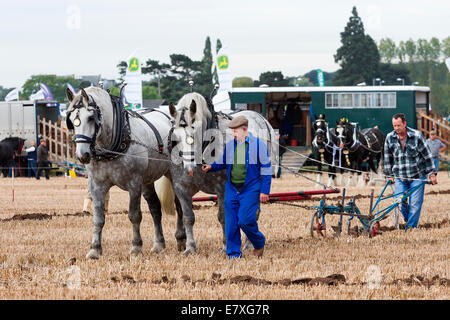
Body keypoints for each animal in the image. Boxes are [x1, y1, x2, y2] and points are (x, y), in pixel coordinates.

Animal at [64, 86, 183, 258]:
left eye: (91, 118)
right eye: (72, 119)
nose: (82, 155)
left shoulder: (134, 184)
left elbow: (134, 215)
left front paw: (136, 247)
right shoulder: (96, 185)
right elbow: (98, 217)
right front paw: (95, 249)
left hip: (172, 174)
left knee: (179, 204)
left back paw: (181, 239)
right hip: (147, 182)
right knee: (155, 209)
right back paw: (158, 244)